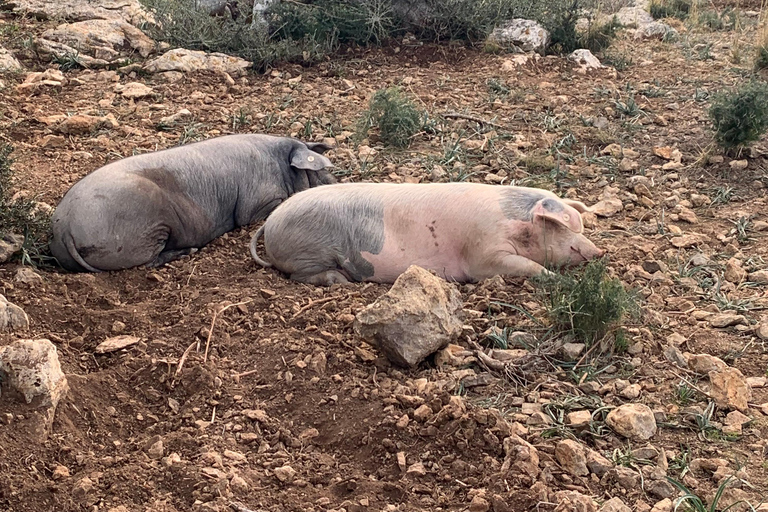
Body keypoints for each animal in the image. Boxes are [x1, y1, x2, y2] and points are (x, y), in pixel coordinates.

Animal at [49, 134, 334, 274]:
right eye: (319, 171)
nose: (334, 180)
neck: (279, 163)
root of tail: (65, 228)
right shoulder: (256, 203)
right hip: (146, 225)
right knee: (147, 262)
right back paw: (189, 252)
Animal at [252, 183, 608, 288]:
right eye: (561, 225)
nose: (600, 252)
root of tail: (271, 222)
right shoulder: (483, 255)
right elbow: (528, 266)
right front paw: (557, 279)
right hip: (309, 253)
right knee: (299, 275)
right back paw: (339, 281)